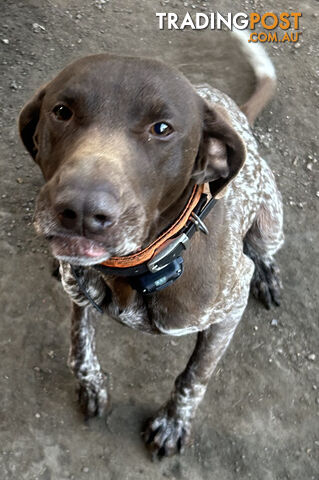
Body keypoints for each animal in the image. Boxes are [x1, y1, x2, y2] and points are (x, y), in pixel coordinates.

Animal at [18, 30, 284, 458]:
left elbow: (194, 377)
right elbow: (79, 348)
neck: (138, 266)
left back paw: (267, 273)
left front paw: (173, 421)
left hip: (271, 221)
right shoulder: (80, 294)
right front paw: (91, 385)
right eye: (61, 111)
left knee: (262, 249)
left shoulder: (229, 311)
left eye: (162, 129)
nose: (81, 210)